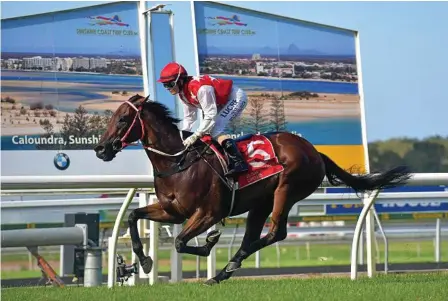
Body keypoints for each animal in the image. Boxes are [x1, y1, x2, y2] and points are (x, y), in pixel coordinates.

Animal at [94, 94, 412, 284]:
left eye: (122, 119)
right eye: (111, 117)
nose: (100, 149)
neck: (178, 162)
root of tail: (314, 151)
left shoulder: (208, 213)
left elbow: (181, 242)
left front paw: (209, 242)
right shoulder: (173, 211)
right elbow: (133, 217)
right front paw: (145, 260)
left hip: (286, 190)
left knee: (275, 233)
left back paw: (227, 267)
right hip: (261, 203)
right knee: (253, 237)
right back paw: (223, 272)